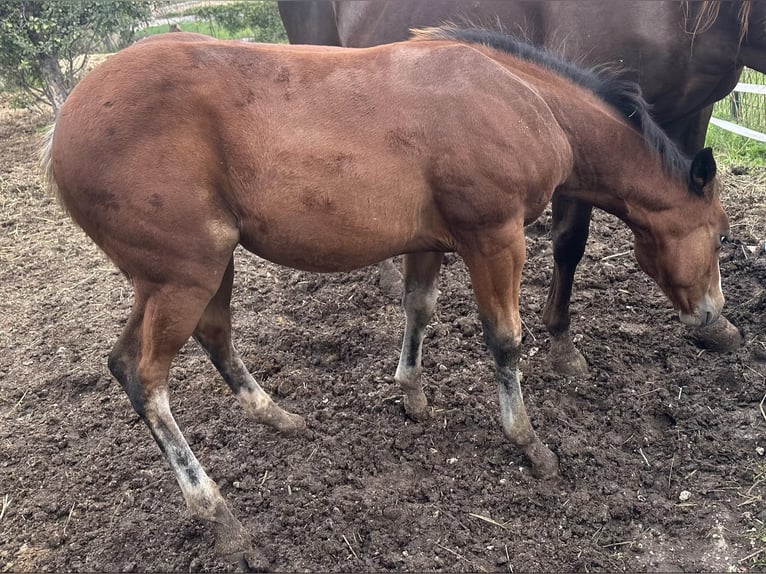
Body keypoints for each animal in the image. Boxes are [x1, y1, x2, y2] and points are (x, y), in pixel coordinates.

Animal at [43, 28, 732, 572]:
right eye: (722, 231)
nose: (714, 317)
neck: (524, 99)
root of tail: (64, 126)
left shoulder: (431, 242)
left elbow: (418, 309)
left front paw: (413, 396)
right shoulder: (495, 238)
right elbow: (505, 339)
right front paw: (527, 441)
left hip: (195, 273)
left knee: (192, 344)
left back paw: (278, 416)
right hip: (184, 275)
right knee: (145, 376)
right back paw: (219, 516)